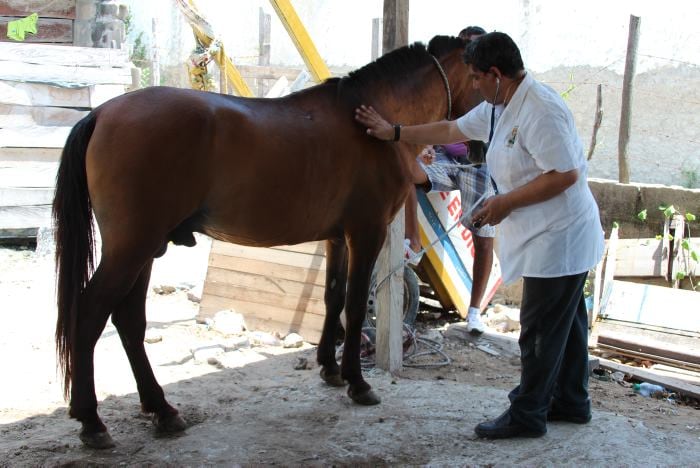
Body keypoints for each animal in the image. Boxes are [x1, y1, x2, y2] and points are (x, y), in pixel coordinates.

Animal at [53, 34, 482, 448]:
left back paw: (161, 410)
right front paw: (358, 383)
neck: (373, 118)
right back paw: (92, 421)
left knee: (128, 320)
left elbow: (333, 297)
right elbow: (357, 305)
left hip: (144, 250)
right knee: (89, 314)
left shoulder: (338, 238)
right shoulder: (367, 231)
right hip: (131, 249)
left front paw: (330, 368)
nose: (477, 150)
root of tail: (102, 113)